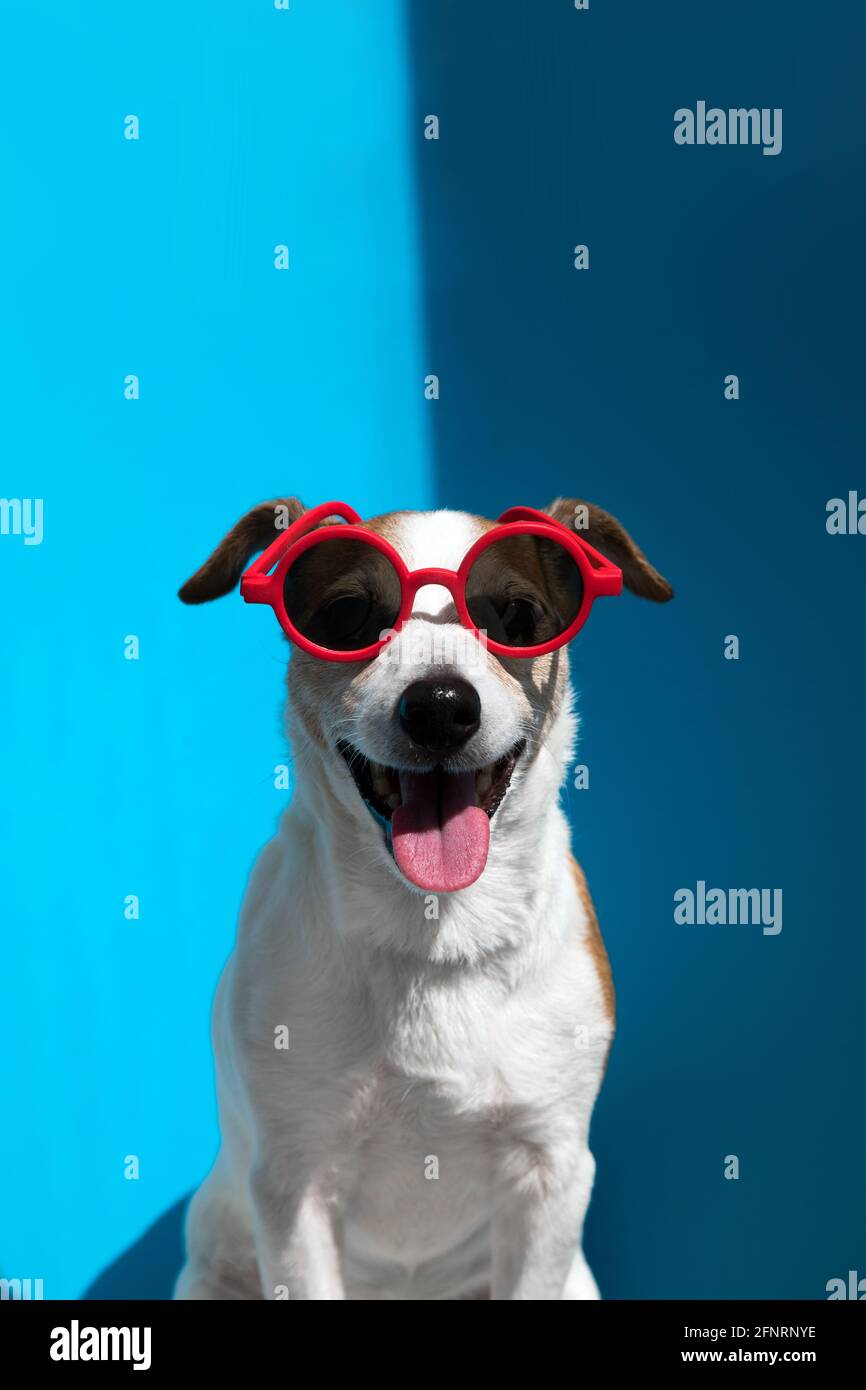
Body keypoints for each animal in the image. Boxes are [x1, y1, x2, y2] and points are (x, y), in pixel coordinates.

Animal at [170, 500, 670, 1301]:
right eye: (347, 615)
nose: (439, 705)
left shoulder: (551, 1175)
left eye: (518, 616)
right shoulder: (293, 1187)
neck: (434, 927)